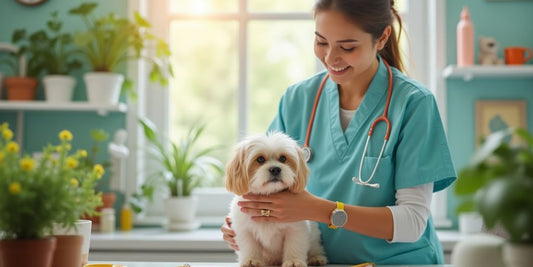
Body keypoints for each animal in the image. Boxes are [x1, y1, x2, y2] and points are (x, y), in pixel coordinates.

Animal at [225, 132, 326, 267]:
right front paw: (252, 260)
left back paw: (316, 258)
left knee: (315, 247)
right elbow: (250, 247)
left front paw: (293, 261)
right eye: (260, 159)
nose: (275, 169)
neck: (268, 196)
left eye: (283, 158)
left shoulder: (295, 230)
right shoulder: (245, 231)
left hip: (314, 235)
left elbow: (294, 246)